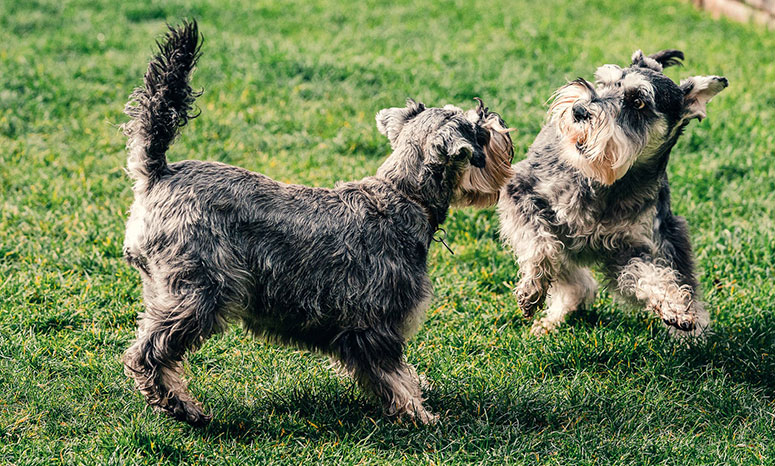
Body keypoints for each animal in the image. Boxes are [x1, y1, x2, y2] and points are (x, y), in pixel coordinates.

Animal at [121, 20, 516, 426]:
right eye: (478, 130)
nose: (498, 122)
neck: (405, 196)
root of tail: (159, 173)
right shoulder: (377, 324)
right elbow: (394, 375)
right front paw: (419, 415)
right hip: (200, 294)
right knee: (148, 353)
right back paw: (182, 406)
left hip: (164, 290)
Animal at [498, 50, 728, 334]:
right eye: (604, 83)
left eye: (638, 102)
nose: (579, 110)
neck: (608, 184)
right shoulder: (521, 192)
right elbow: (540, 244)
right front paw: (532, 289)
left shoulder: (630, 249)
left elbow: (649, 274)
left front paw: (675, 305)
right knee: (572, 278)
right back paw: (550, 321)